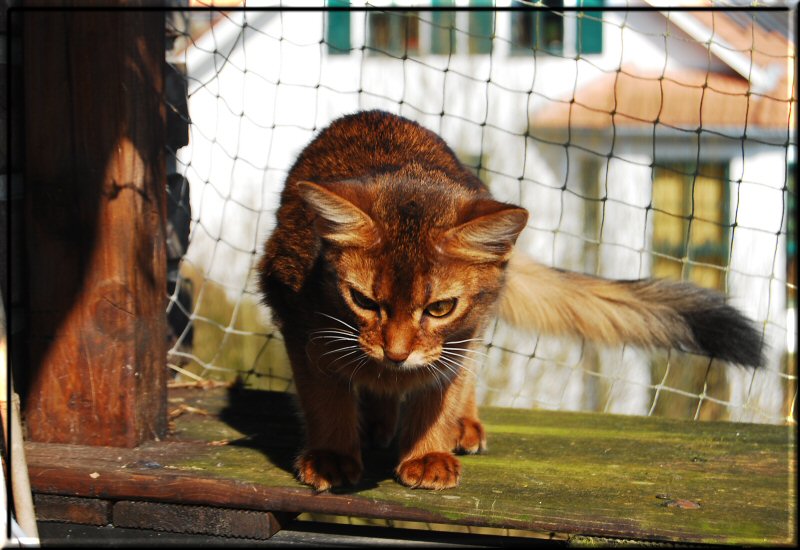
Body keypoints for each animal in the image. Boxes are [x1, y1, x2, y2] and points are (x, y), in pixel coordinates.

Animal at [260, 110, 764, 494]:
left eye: (439, 308)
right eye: (363, 300)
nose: (396, 353)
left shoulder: (460, 336)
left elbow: (440, 392)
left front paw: (428, 452)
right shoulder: (303, 325)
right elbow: (326, 398)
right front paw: (332, 455)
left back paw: (459, 426)